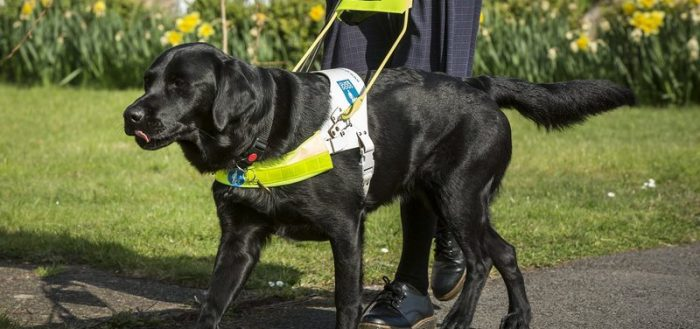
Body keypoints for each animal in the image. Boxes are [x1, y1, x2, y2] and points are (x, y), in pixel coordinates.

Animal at [123, 43, 636, 328]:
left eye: (182, 85)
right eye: (148, 80)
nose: (131, 115)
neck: (264, 133)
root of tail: (480, 85)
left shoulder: (346, 229)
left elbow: (347, 303)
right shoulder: (239, 238)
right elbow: (213, 304)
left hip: (458, 197)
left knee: (480, 259)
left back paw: (458, 320)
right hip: (451, 199)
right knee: (505, 251)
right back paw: (518, 317)